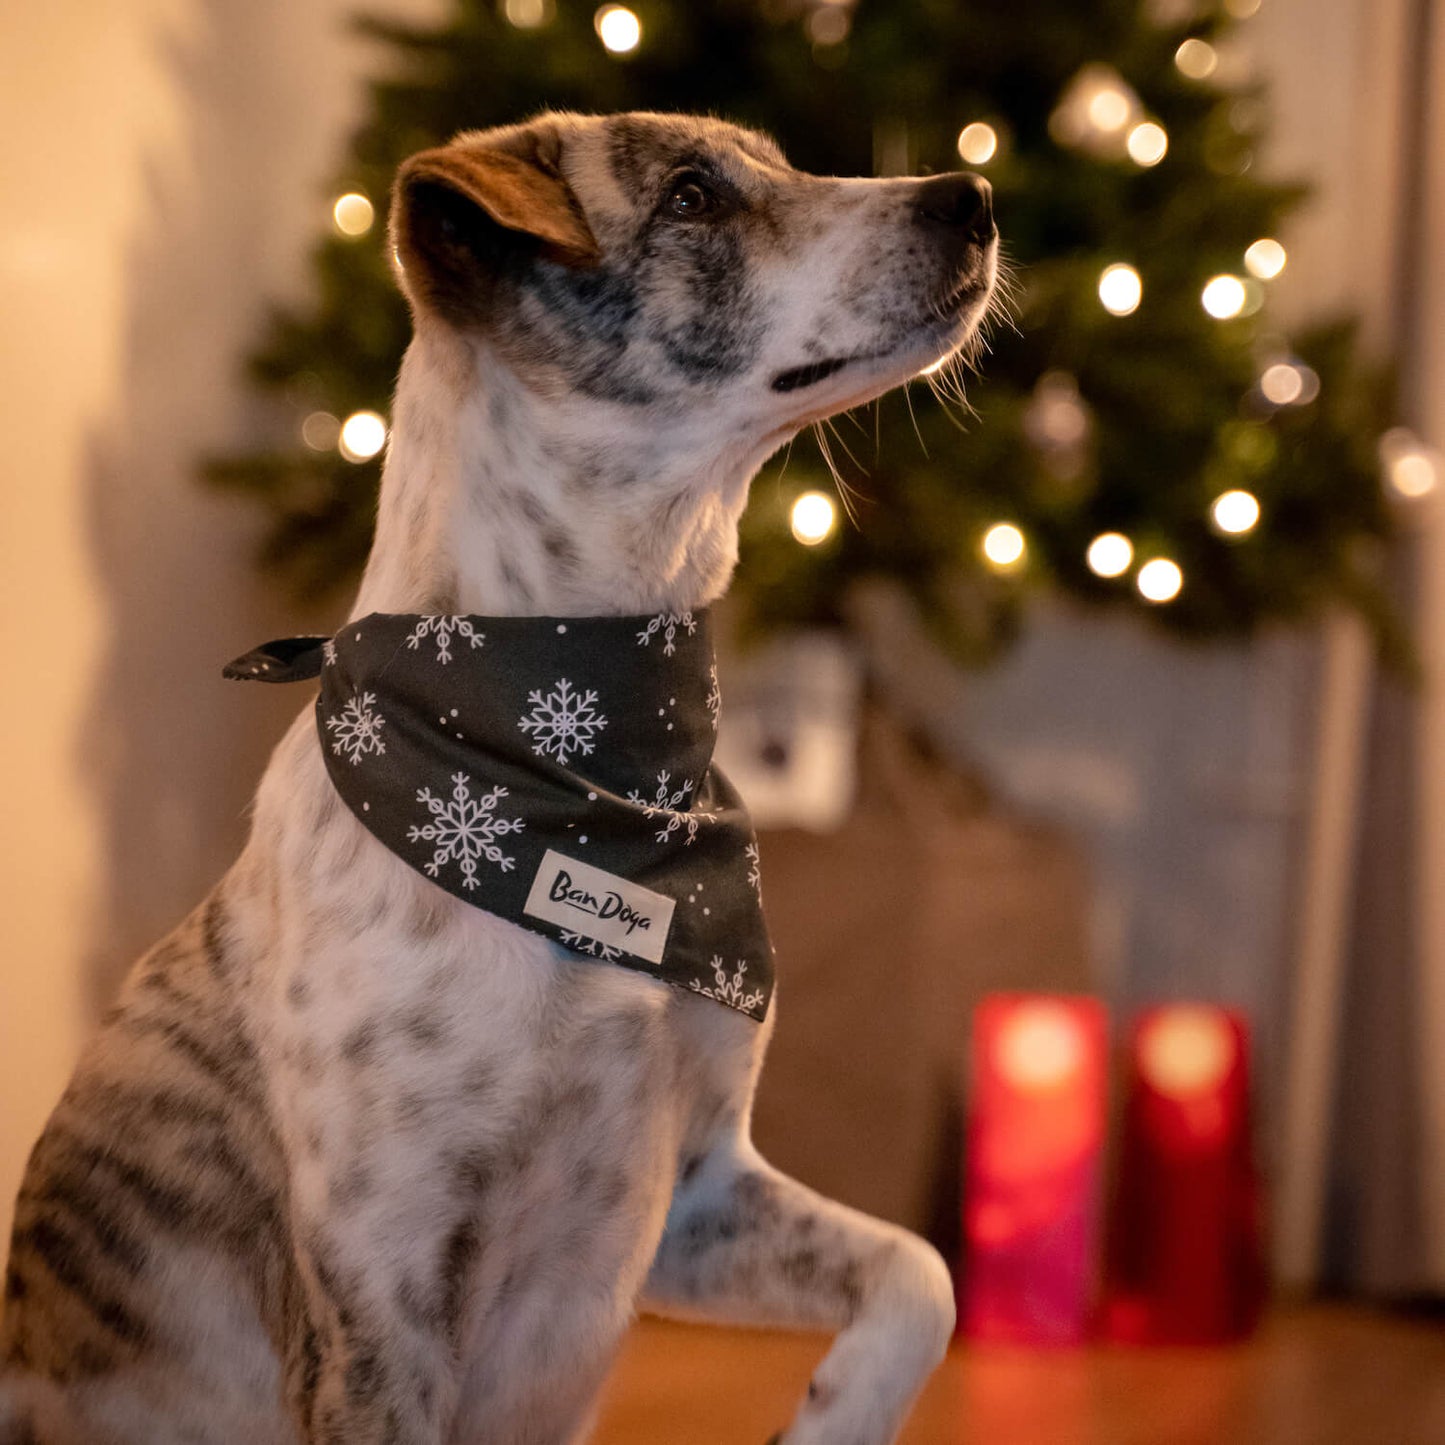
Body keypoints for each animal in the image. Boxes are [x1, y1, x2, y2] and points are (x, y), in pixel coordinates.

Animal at [0, 106, 994, 1439]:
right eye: (689, 196)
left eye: (779, 162)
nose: (973, 196)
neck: (570, 762)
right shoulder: (382, 1311)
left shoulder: (687, 1194)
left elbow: (919, 1270)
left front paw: (832, 1417)